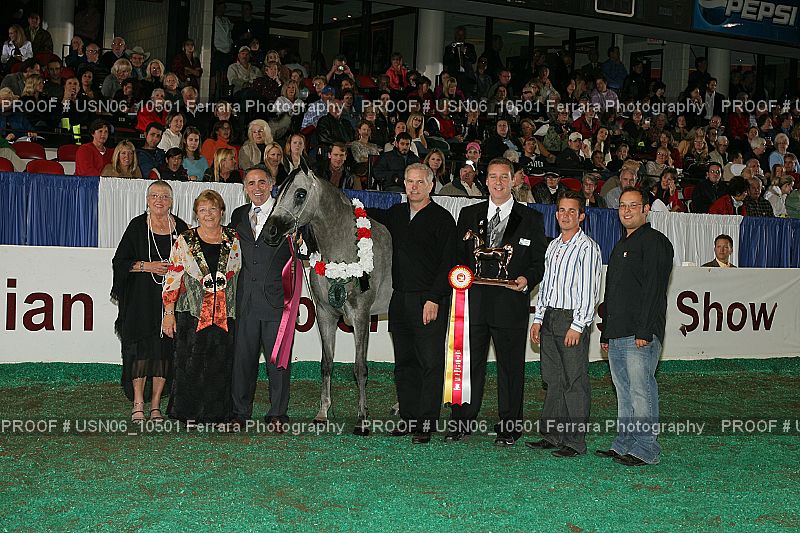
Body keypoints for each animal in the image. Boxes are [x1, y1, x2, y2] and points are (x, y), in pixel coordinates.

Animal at [264, 167, 393, 435]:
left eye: (300, 193)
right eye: (278, 192)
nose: (271, 231)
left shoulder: (361, 316)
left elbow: (360, 367)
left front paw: (362, 420)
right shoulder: (325, 314)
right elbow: (327, 363)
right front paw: (323, 414)